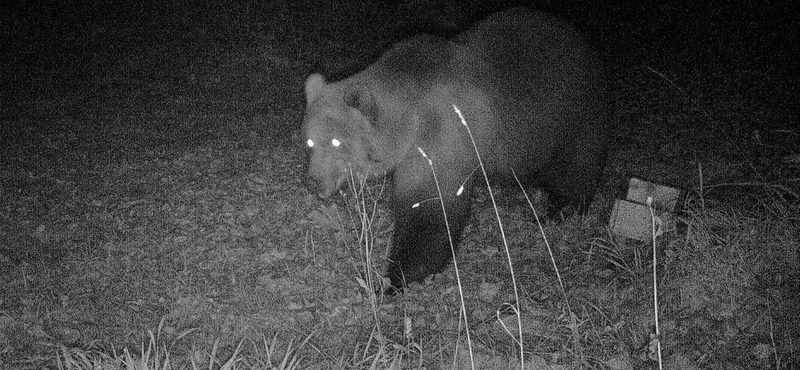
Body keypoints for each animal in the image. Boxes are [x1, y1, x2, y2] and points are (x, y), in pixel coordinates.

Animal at [304, 7, 608, 294]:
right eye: (309, 142)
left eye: (336, 142)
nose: (314, 182)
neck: (410, 121)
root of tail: (582, 40)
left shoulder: (442, 139)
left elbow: (430, 211)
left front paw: (395, 278)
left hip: (572, 114)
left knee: (576, 166)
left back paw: (558, 210)